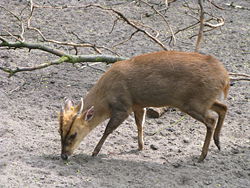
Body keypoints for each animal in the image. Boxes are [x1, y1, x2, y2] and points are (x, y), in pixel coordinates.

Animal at [59, 50, 230, 162]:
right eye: (60, 131)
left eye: (73, 134)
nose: (64, 156)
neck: (106, 96)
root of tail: (225, 78)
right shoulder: (138, 104)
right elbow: (140, 124)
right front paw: (141, 146)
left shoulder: (123, 106)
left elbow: (108, 129)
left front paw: (94, 152)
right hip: (203, 101)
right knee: (223, 108)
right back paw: (218, 143)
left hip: (193, 103)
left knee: (211, 120)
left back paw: (202, 155)